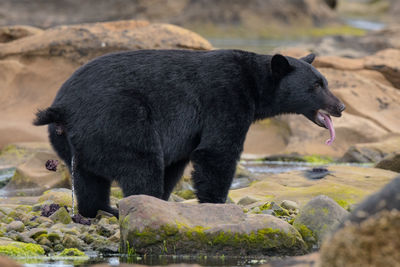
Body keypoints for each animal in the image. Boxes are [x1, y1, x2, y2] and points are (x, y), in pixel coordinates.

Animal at [34, 49, 346, 219]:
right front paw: (217, 204)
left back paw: (103, 209)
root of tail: (61, 109)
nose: (340, 106)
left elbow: (178, 161)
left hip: (72, 141)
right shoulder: (225, 96)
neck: (254, 84)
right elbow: (217, 151)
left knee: (89, 179)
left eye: (325, 82)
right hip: (119, 117)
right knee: (141, 163)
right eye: (316, 85)